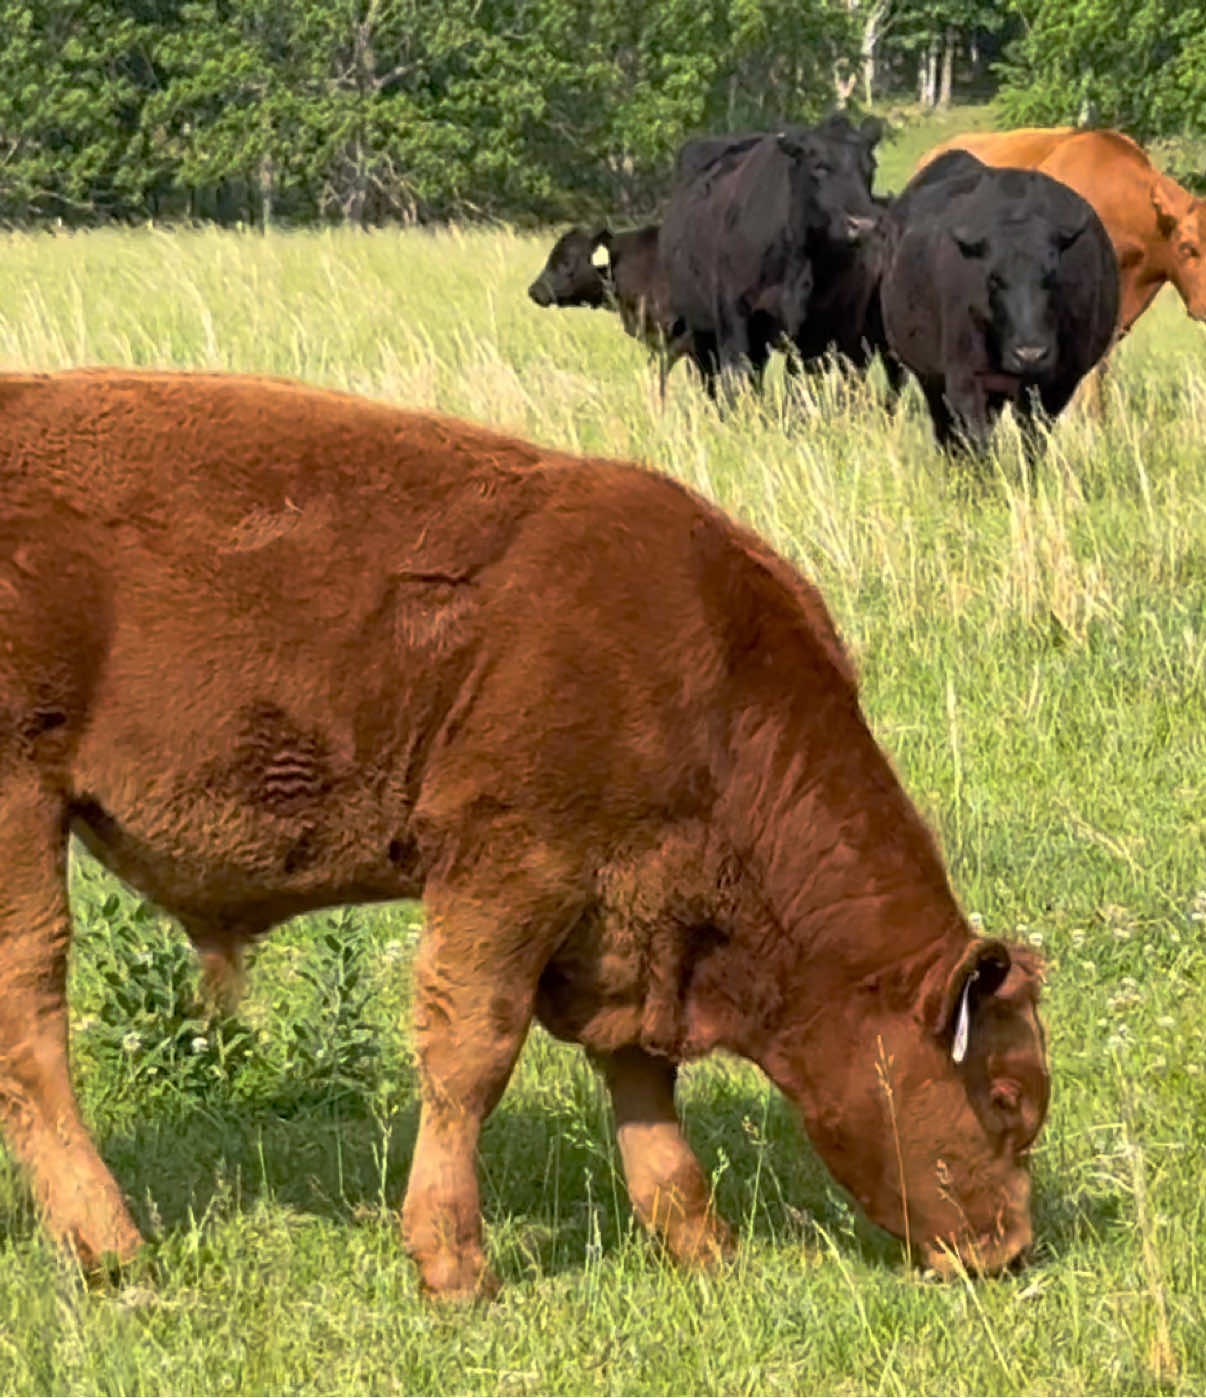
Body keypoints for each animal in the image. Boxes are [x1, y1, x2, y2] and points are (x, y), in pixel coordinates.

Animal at [0, 368, 1049, 1300]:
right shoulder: (511, 870)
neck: (713, 676)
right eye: (1004, 1101)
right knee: (32, 1020)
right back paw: (112, 1249)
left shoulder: (630, 912)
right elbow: (472, 1056)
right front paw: (455, 1266)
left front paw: (702, 1247)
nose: (1007, 1250)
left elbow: (642, 1080)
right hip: (22, 812)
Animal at [659, 115, 884, 396]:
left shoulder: (814, 329)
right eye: (820, 166)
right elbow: (737, 380)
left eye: (870, 167)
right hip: (699, 329)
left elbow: (800, 386)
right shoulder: (734, 317)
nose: (863, 224)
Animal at [880, 152, 1119, 450]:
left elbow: (1033, 440)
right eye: (994, 279)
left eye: (1052, 276)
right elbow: (977, 441)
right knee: (947, 433)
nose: (1030, 354)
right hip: (931, 380)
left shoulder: (1058, 383)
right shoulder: (965, 382)